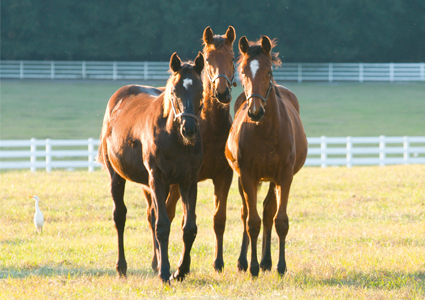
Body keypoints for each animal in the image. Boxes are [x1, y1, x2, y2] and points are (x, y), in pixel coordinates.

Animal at [99, 52, 205, 284]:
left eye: (201, 90)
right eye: (174, 91)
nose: (189, 129)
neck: (173, 137)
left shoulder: (188, 181)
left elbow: (189, 227)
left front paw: (180, 270)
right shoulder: (157, 178)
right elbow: (162, 225)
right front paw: (165, 273)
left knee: (152, 215)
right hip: (117, 176)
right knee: (120, 216)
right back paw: (122, 267)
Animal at [142, 25, 235, 274]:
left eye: (233, 58)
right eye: (209, 58)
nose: (222, 93)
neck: (210, 127)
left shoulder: (223, 177)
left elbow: (218, 219)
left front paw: (218, 262)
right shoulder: (179, 181)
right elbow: (175, 217)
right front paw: (175, 266)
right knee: (154, 213)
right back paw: (156, 261)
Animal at [224, 36, 306, 278]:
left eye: (269, 71)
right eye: (242, 71)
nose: (255, 111)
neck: (266, 131)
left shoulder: (285, 176)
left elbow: (280, 220)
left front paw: (280, 266)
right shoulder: (247, 176)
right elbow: (252, 222)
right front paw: (252, 267)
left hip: (272, 179)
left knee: (269, 212)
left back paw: (267, 261)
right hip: (244, 180)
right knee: (246, 214)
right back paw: (244, 261)